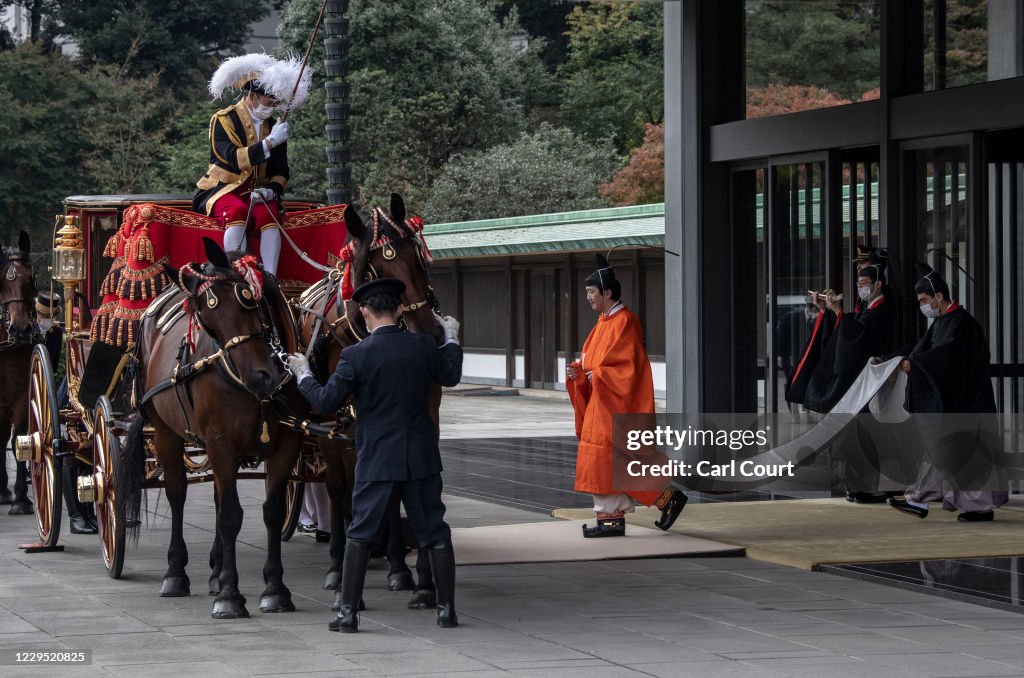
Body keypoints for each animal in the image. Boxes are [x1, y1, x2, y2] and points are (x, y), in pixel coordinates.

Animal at [118, 238, 305, 622]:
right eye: (206, 320)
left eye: (246, 296)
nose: (261, 377)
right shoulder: (221, 441)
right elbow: (231, 515)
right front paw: (231, 596)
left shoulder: (286, 443)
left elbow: (271, 511)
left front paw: (274, 588)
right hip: (166, 432)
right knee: (177, 494)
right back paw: (176, 573)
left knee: (219, 496)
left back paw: (217, 571)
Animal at [294, 195, 442, 606]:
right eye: (378, 268)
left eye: (418, 257)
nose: (430, 332)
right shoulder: (331, 424)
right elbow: (338, 487)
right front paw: (337, 566)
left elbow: (396, 487)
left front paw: (403, 570)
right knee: (342, 486)